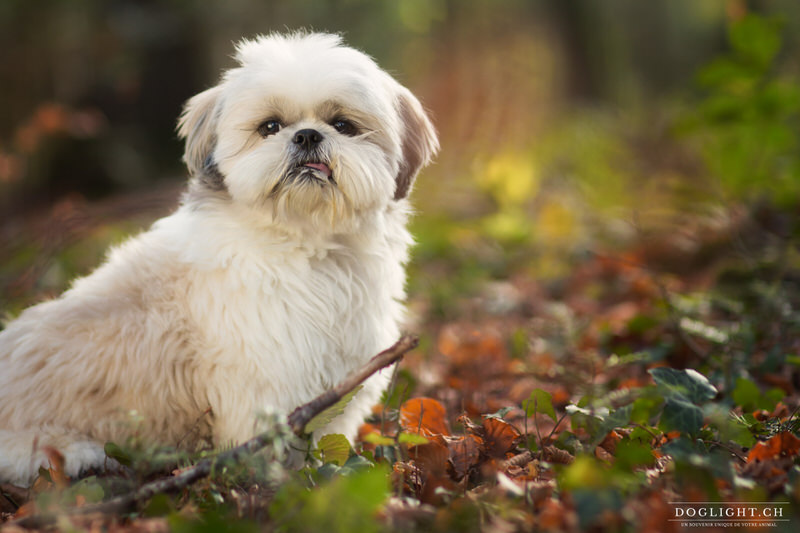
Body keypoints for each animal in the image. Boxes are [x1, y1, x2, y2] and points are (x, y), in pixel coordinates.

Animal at [0, 31, 438, 484]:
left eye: (342, 125)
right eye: (270, 127)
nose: (307, 136)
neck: (307, 245)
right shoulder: (265, 390)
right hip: (61, 452)